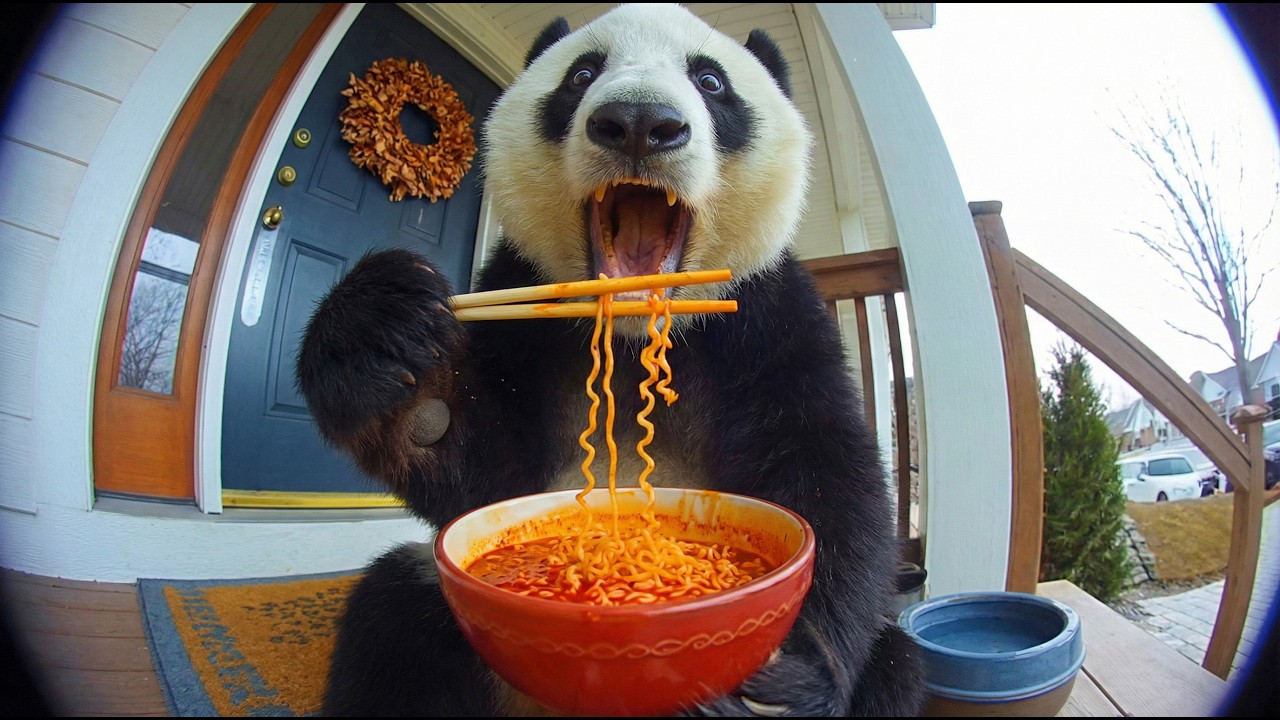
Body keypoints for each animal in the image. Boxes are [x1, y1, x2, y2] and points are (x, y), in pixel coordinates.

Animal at [298, 3, 925, 717]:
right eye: (581, 74)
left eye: (710, 81)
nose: (639, 124)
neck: (630, 331)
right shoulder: (520, 300)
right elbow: (481, 466)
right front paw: (384, 326)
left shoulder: (768, 313)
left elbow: (828, 471)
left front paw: (782, 674)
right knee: (391, 622)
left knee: (896, 664)